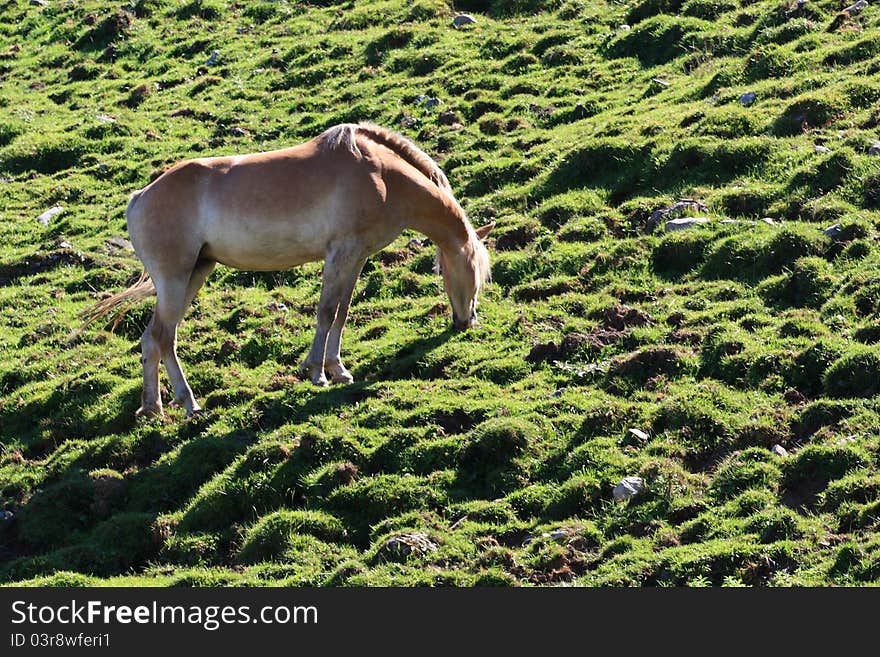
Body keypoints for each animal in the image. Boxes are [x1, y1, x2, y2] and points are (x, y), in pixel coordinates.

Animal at [81, 123, 496, 418]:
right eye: (473, 268)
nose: (467, 321)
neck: (380, 175)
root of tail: (139, 198)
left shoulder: (356, 258)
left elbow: (341, 313)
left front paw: (338, 369)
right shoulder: (340, 254)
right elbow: (326, 312)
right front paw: (317, 371)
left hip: (195, 273)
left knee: (153, 339)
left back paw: (153, 408)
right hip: (174, 279)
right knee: (164, 337)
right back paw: (188, 403)